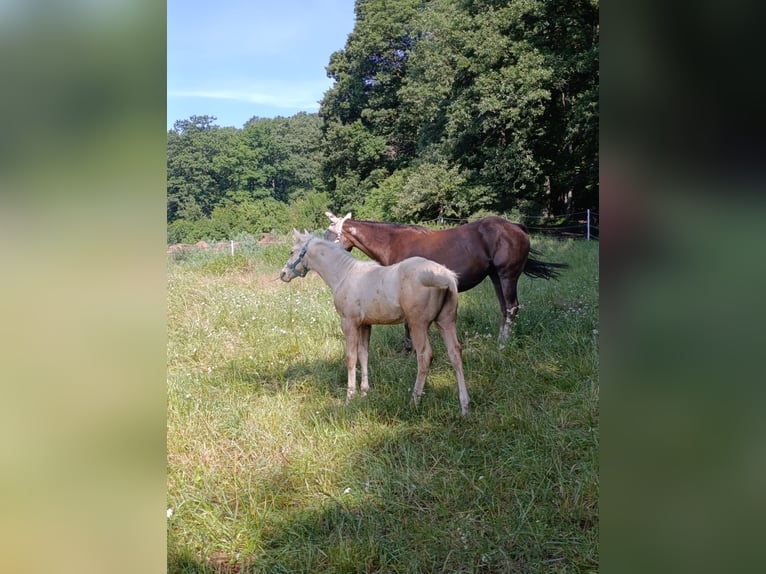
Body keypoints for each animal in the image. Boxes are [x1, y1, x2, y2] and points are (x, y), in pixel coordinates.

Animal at [280, 230, 471, 415]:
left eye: (291, 251)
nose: (283, 274)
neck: (345, 274)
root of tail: (445, 275)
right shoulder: (365, 324)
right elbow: (364, 354)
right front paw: (365, 392)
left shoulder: (349, 323)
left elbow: (351, 357)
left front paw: (350, 397)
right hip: (445, 322)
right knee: (455, 354)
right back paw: (465, 407)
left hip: (418, 325)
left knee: (425, 357)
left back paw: (414, 401)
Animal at [324, 212, 568, 347]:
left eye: (329, 233)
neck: (393, 243)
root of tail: (516, 227)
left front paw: (409, 349)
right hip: (496, 278)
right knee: (505, 309)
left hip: (507, 276)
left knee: (511, 307)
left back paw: (502, 344)